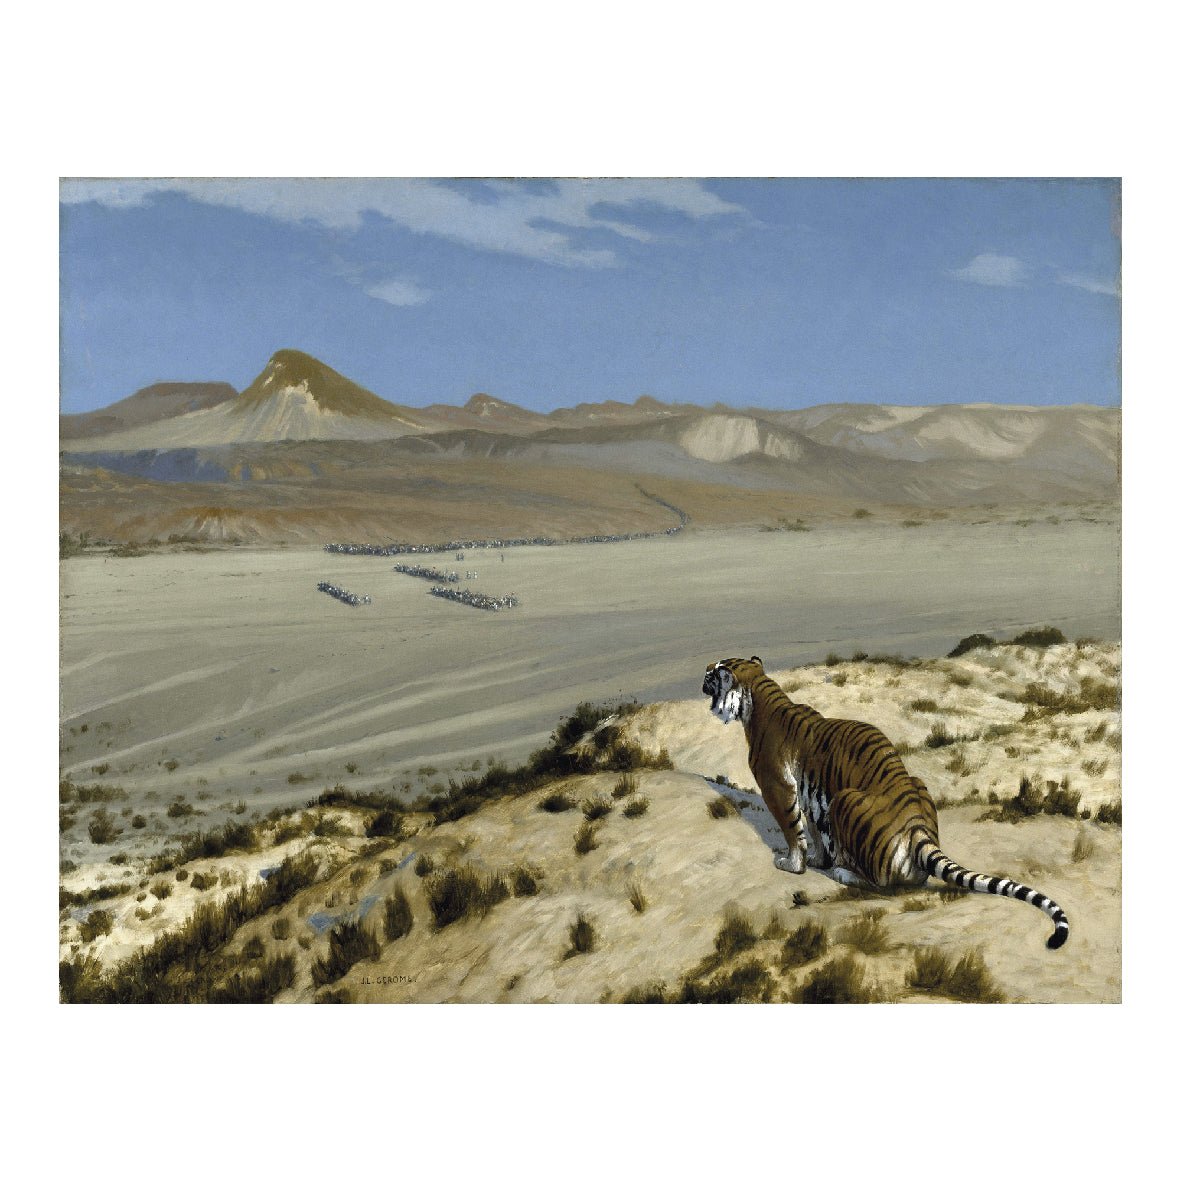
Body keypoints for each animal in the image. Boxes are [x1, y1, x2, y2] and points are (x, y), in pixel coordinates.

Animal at [702, 655, 1069, 949]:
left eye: (712, 674)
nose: (701, 678)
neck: (757, 697)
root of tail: (917, 826)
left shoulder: (777, 787)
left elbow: (794, 830)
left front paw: (792, 864)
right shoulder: (808, 795)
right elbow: (814, 830)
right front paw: (817, 859)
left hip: (844, 800)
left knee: (879, 886)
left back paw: (842, 872)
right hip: (911, 786)